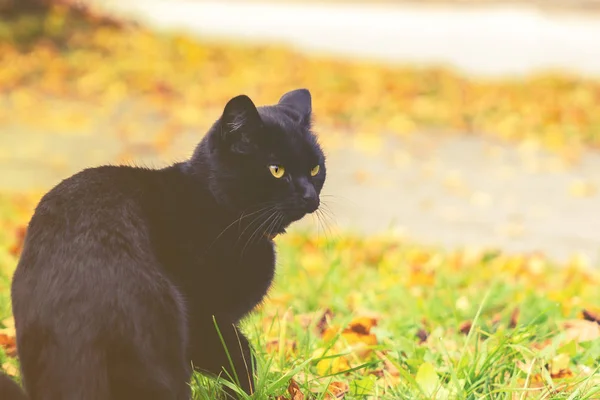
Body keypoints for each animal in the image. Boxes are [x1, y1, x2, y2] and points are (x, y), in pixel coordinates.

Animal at [7, 89, 326, 398]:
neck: (216, 204)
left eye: (315, 169)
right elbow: (240, 357)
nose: (310, 196)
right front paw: (242, 393)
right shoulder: (205, 317)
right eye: (276, 170)